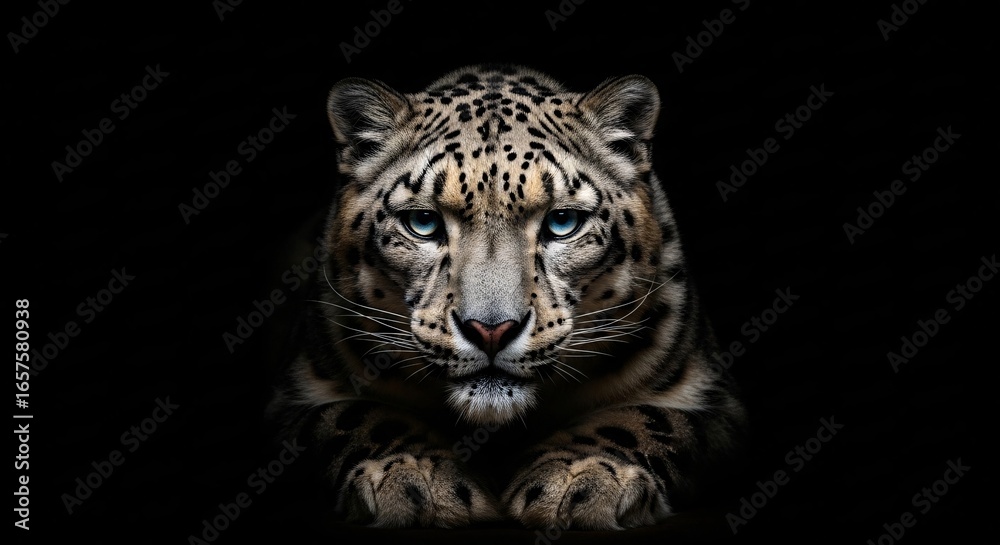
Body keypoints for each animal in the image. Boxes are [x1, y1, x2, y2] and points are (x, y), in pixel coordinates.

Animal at [268, 64, 746, 530]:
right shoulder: (300, 392)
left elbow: (644, 420)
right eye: (422, 222)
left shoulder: (710, 396)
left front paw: (581, 476)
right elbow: (356, 417)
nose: (491, 330)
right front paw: (417, 474)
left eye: (563, 222)